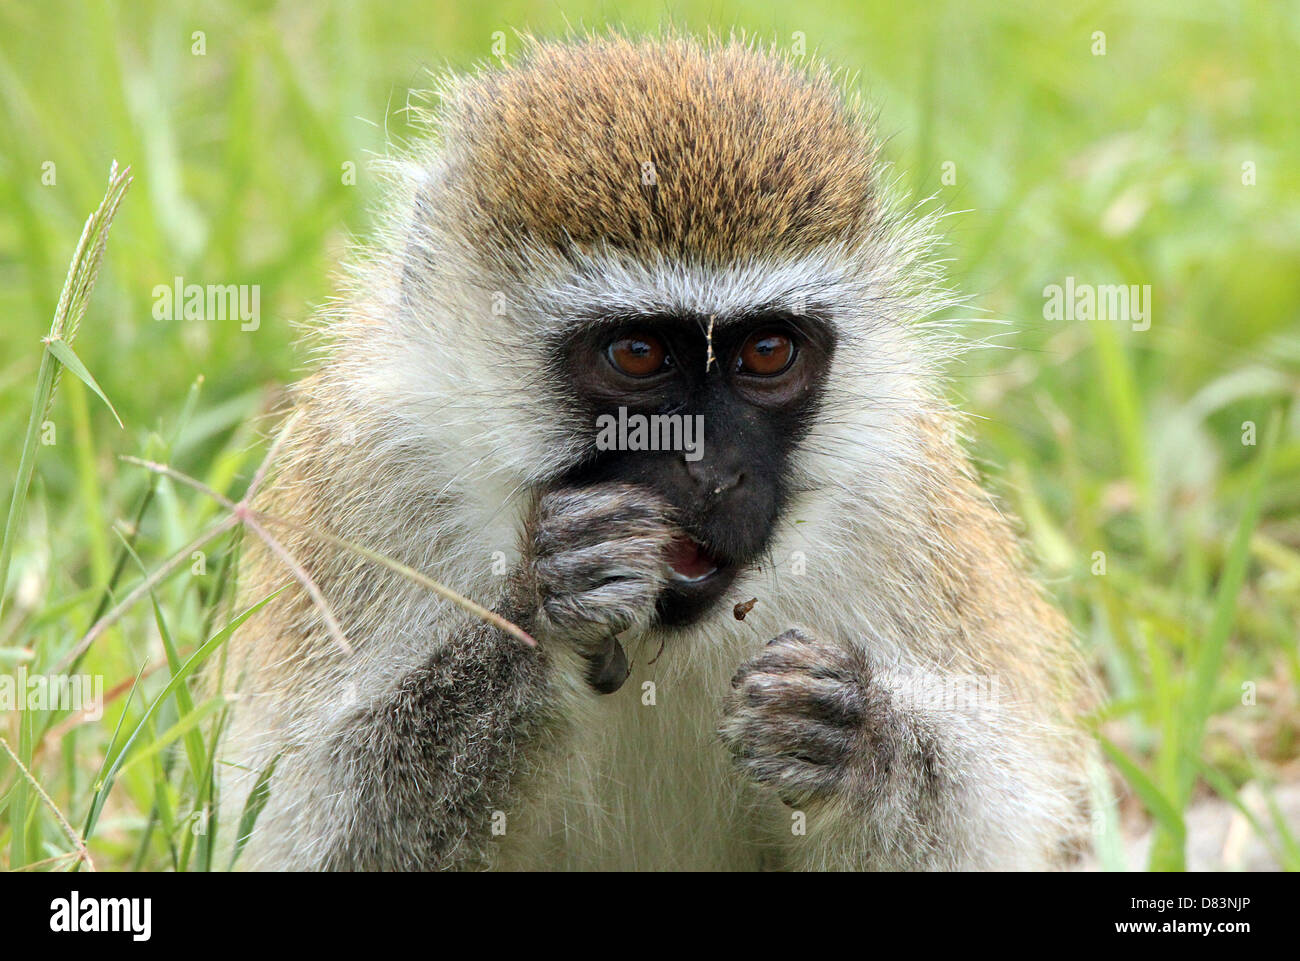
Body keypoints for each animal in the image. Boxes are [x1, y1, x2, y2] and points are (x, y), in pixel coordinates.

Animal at [218, 35, 1092, 873]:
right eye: (637, 354)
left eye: (767, 351)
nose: (712, 471)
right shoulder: (371, 471)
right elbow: (314, 822)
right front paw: (549, 595)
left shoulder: (901, 499)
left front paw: (852, 733)